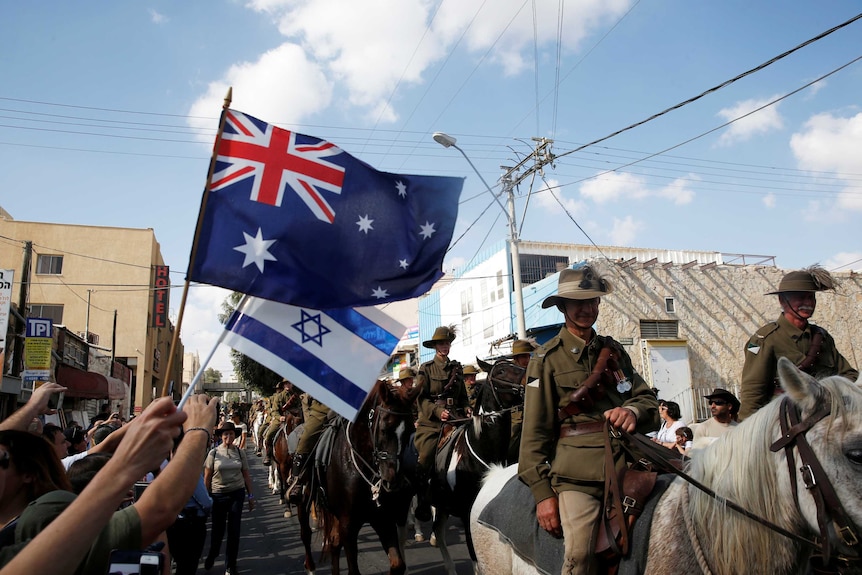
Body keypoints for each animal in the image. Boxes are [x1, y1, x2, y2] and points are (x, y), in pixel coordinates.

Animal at [298, 382, 424, 575]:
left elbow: (397, 564)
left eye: (411, 430)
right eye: (384, 430)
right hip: (303, 499)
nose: (394, 481)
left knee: (333, 542)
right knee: (305, 534)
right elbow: (353, 570)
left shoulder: (382, 518)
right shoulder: (348, 525)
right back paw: (310, 567)